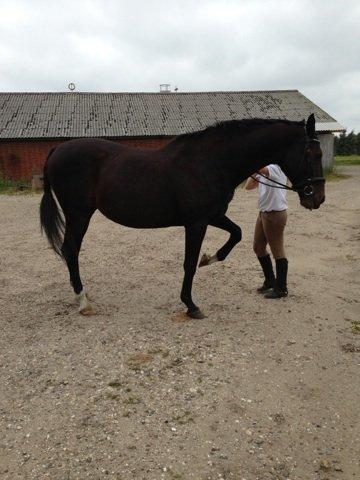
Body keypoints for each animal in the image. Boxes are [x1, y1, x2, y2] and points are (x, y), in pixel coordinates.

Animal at [40, 113, 324, 318]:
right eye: (312, 154)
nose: (317, 198)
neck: (212, 162)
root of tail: (57, 150)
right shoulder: (196, 223)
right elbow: (188, 263)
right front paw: (191, 305)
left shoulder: (213, 216)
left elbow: (236, 234)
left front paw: (210, 258)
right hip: (79, 214)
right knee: (71, 250)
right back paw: (82, 301)